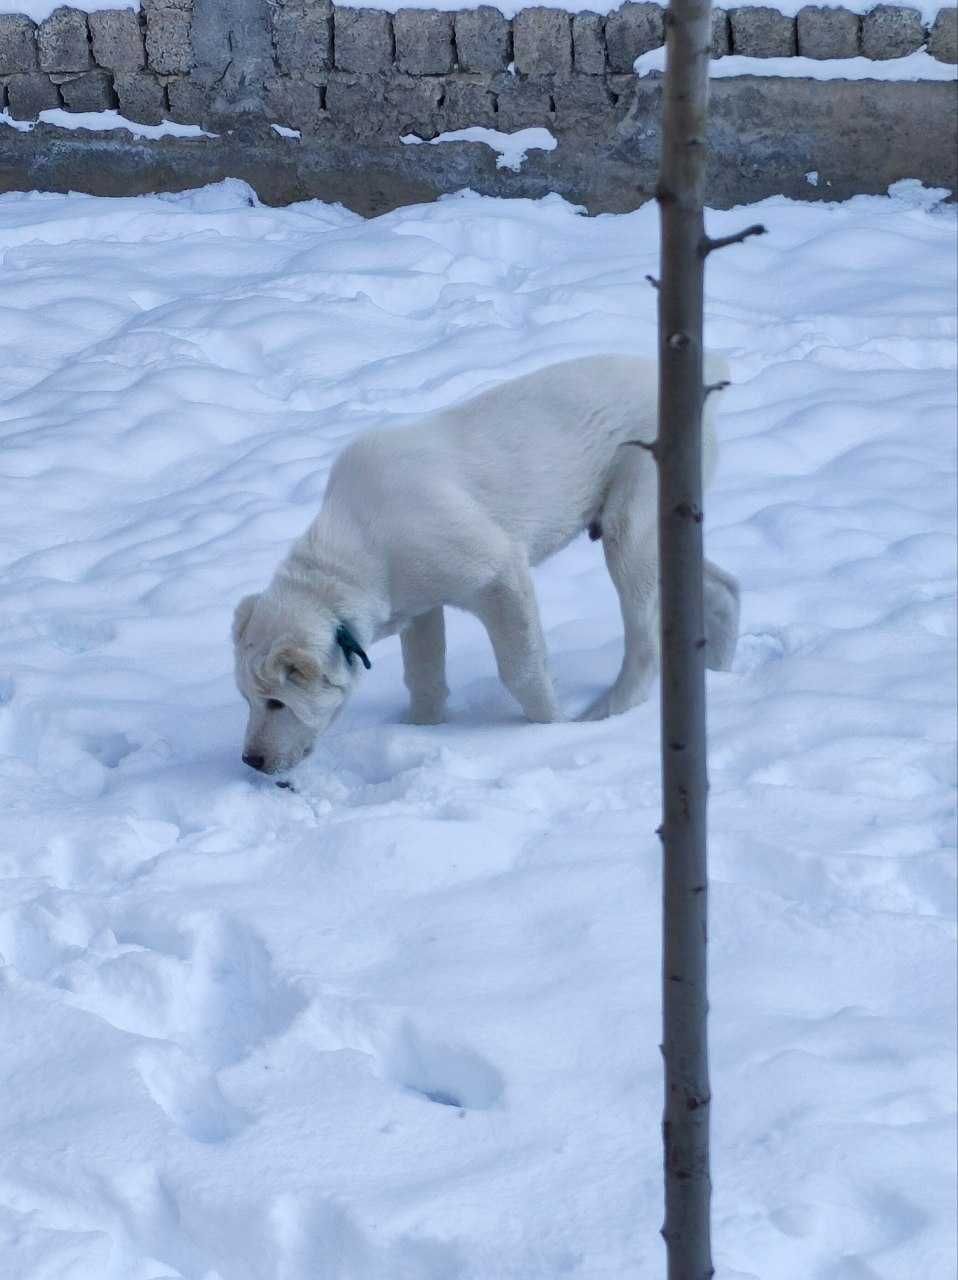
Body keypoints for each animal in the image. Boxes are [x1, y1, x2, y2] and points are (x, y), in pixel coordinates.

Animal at [231, 355, 742, 773]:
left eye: (276, 703)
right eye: (247, 700)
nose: (251, 762)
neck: (362, 545)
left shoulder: (500, 574)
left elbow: (522, 670)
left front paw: (548, 728)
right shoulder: (421, 606)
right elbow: (424, 679)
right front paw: (421, 730)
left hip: (630, 529)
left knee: (646, 643)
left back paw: (605, 715)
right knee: (725, 589)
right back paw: (719, 673)